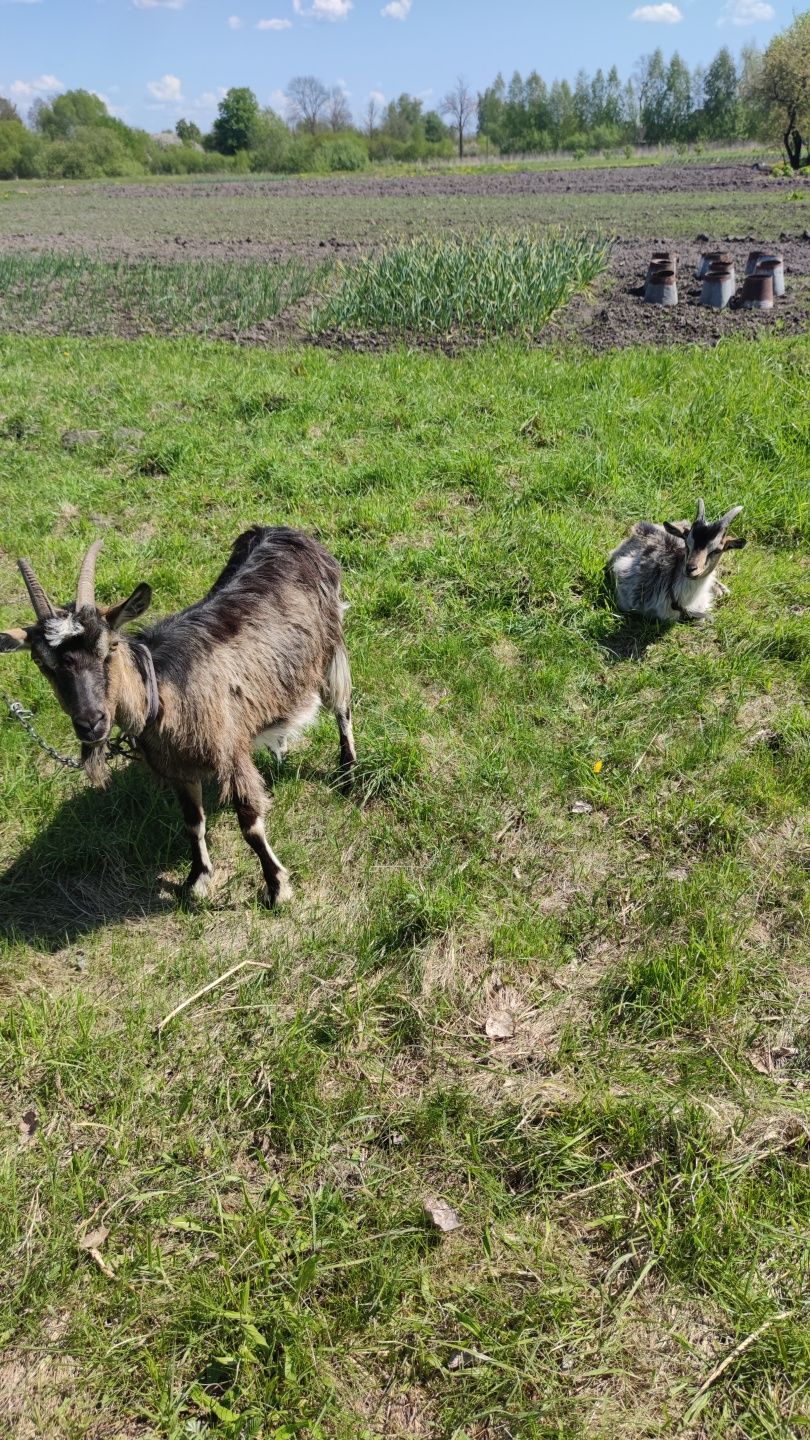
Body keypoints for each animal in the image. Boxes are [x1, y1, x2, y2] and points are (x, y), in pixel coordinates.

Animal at [0, 529, 353, 904]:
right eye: (42, 663)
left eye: (109, 648)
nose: (91, 722)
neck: (164, 693)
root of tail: (285, 533)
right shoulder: (178, 767)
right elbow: (193, 822)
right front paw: (197, 879)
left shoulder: (231, 752)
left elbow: (250, 826)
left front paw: (276, 887)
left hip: (330, 646)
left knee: (342, 705)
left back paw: (347, 771)